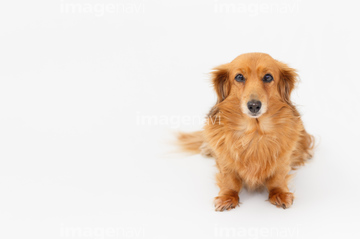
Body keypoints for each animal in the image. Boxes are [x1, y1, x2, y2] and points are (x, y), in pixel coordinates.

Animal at [179, 52, 314, 211]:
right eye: (239, 77)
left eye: (268, 77)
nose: (254, 105)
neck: (254, 132)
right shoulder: (225, 162)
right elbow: (229, 178)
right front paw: (227, 197)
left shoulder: (282, 160)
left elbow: (277, 177)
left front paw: (279, 193)